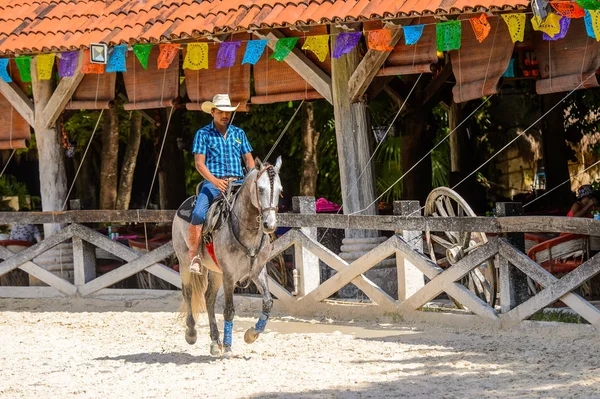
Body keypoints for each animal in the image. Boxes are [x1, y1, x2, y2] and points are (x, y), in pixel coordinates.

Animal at [171, 156, 284, 360]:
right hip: (185, 263)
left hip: (216, 271)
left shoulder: (257, 271)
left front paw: (251, 335)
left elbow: (268, 303)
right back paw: (191, 333)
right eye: (260, 189)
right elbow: (229, 310)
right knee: (188, 292)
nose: (269, 224)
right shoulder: (230, 276)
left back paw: (215, 343)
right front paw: (229, 347)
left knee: (208, 298)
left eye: (280, 190)